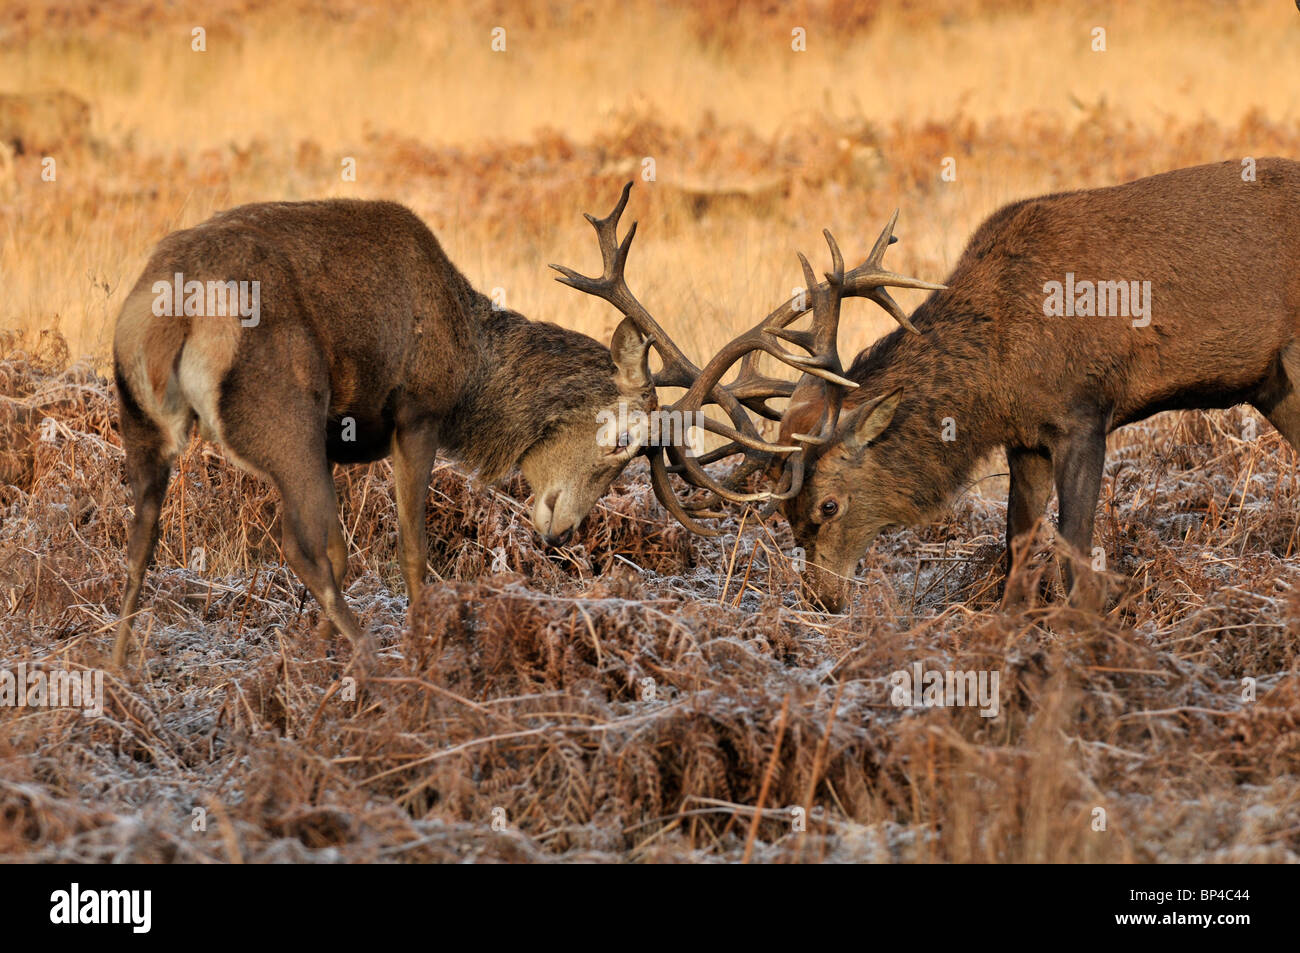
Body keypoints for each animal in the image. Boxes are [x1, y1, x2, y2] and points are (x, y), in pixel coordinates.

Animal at [111, 189, 704, 668]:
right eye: (622, 441)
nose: (563, 534)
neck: (471, 371)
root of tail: (172, 314)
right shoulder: (418, 413)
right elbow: (411, 549)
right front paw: (421, 645)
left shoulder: (339, 440)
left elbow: (347, 549)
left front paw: (316, 654)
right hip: (283, 413)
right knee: (298, 546)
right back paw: (370, 659)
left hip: (140, 414)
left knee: (142, 538)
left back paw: (119, 666)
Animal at [630, 157, 1300, 613]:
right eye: (787, 514)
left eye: (828, 505)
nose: (823, 599)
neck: (996, 377)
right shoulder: (1026, 438)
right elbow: (1016, 554)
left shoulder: (1084, 411)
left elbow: (1076, 560)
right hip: (1273, 385)